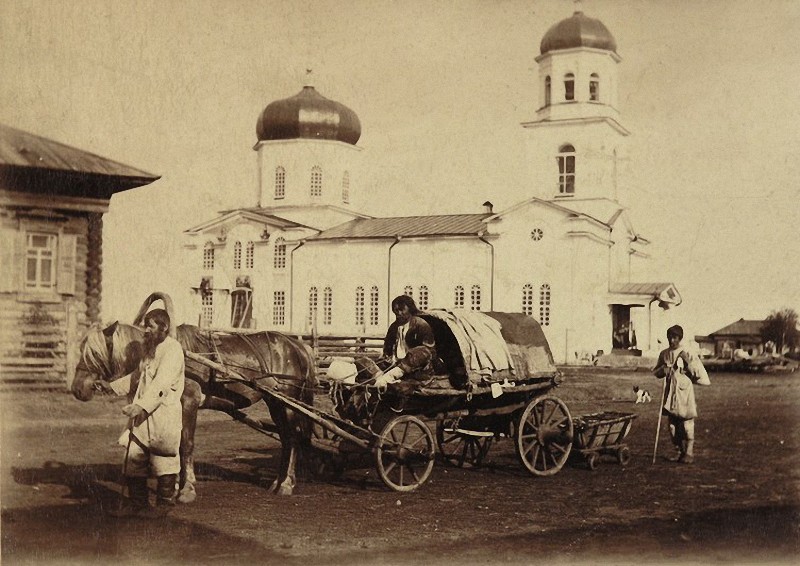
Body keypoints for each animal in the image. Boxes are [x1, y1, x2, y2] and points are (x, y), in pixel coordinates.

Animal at [71, 296, 316, 500]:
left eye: (94, 353)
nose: (77, 388)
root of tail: (298, 345)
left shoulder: (189, 402)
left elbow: (186, 444)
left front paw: (186, 488)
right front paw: (175, 484)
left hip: (288, 403)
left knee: (292, 438)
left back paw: (286, 483)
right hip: (276, 402)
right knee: (285, 438)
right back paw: (277, 481)